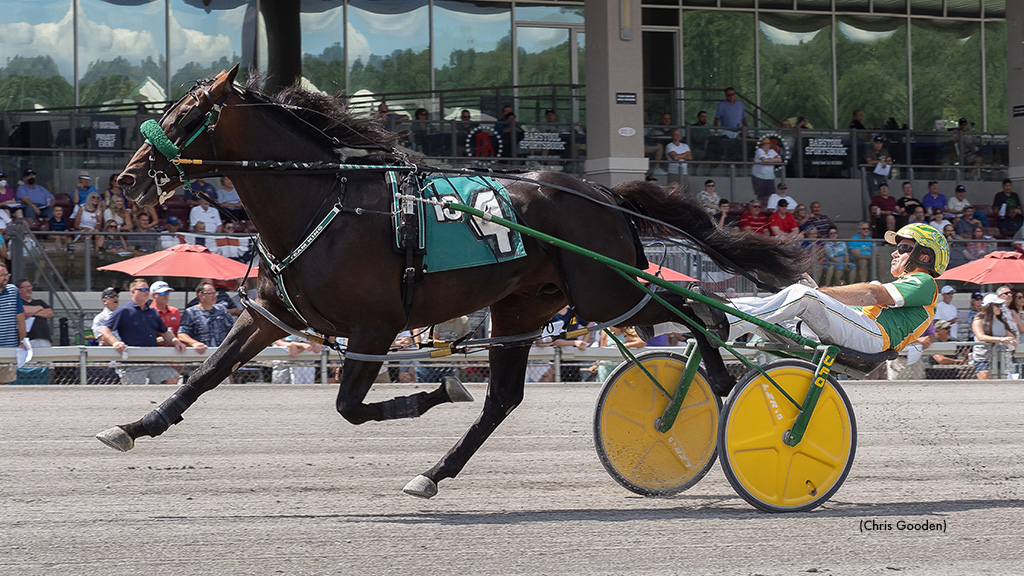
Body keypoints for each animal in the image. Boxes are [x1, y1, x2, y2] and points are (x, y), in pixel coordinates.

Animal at [99, 65, 811, 498]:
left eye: (188, 113)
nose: (127, 179)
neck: (325, 202)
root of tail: (603, 195)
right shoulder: (275, 314)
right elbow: (206, 373)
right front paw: (134, 426)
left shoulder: (375, 326)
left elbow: (350, 407)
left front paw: (438, 388)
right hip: (524, 308)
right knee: (504, 400)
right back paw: (434, 473)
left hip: (608, 289)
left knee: (701, 309)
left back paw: (718, 381)